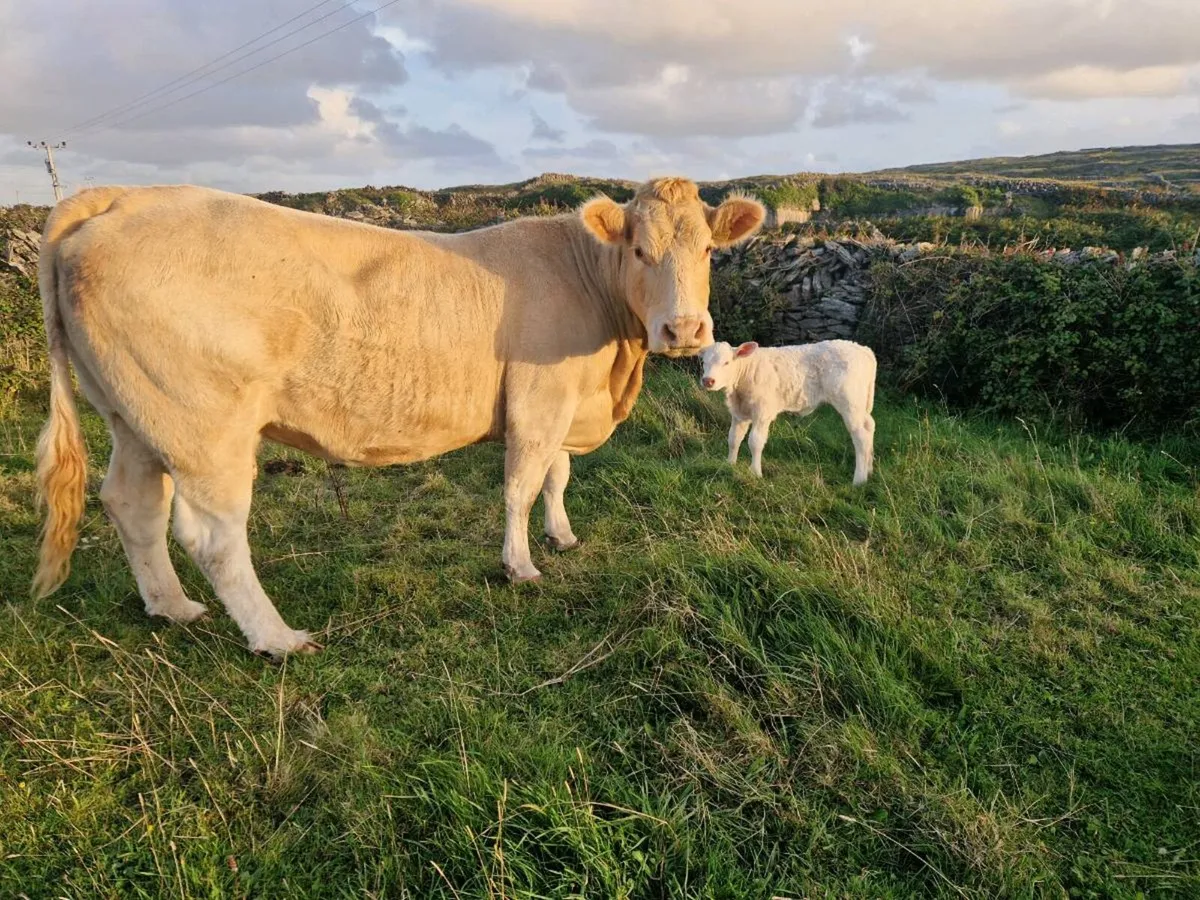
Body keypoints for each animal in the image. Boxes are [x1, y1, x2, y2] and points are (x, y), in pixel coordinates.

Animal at [31, 178, 765, 657]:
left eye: (707, 251)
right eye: (640, 251)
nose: (684, 329)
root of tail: (122, 196)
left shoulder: (563, 401)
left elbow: (556, 479)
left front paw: (562, 536)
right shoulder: (538, 399)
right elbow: (522, 486)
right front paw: (520, 566)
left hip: (134, 417)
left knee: (133, 505)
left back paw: (173, 607)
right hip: (203, 424)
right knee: (212, 535)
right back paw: (277, 638)